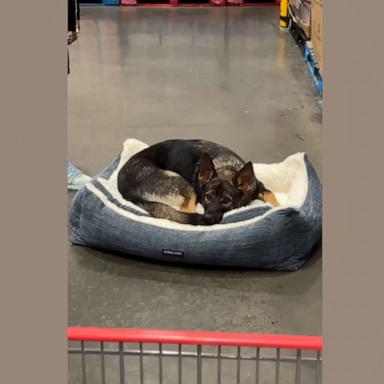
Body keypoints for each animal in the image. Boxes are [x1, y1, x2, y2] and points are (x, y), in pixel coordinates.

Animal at [117, 140, 280, 225]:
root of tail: (123, 187)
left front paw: (279, 207)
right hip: (185, 186)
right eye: (208, 196)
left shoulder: (259, 186)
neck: (226, 168)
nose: (206, 219)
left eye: (226, 200)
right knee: (187, 211)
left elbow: (271, 195)